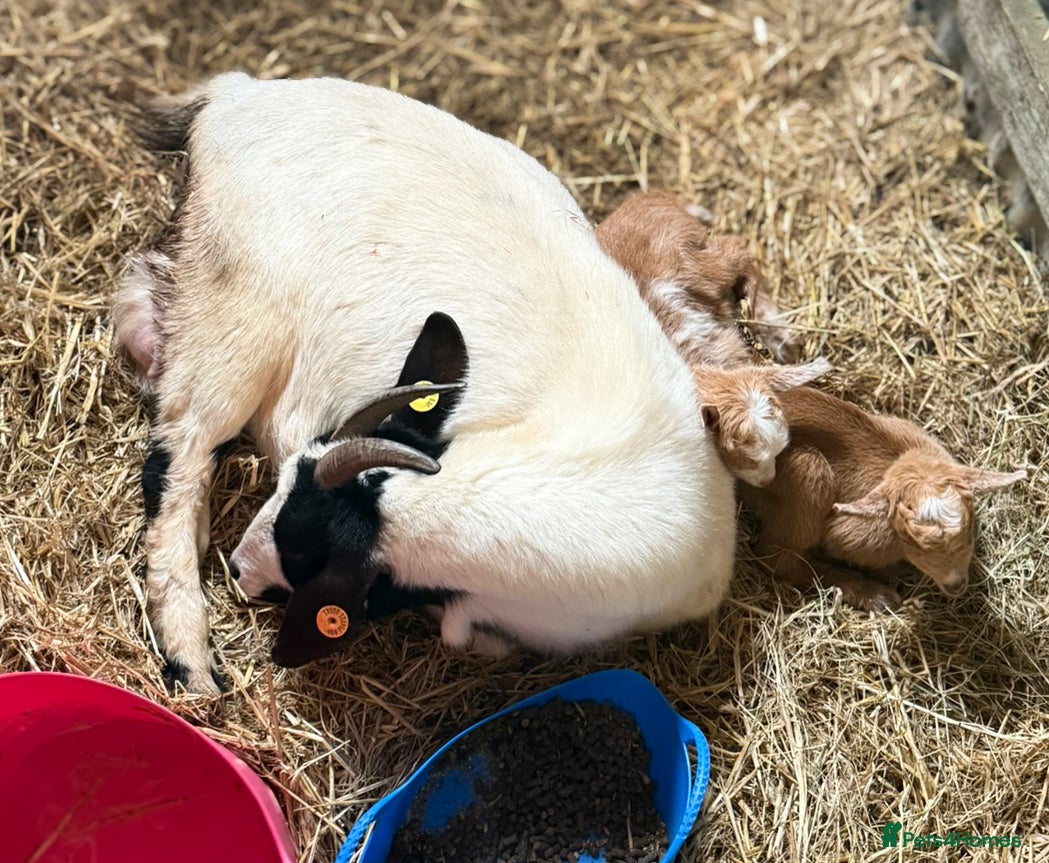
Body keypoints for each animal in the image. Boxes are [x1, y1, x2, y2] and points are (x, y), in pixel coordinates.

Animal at [114, 73, 737, 693]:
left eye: (302, 547)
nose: (239, 569)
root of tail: (234, 96)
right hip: (233, 314)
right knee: (179, 457)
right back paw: (191, 658)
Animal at [737, 385, 1026, 610]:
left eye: (970, 528)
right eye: (911, 541)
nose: (956, 585)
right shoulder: (852, 536)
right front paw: (884, 577)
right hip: (808, 474)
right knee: (777, 556)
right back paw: (875, 595)